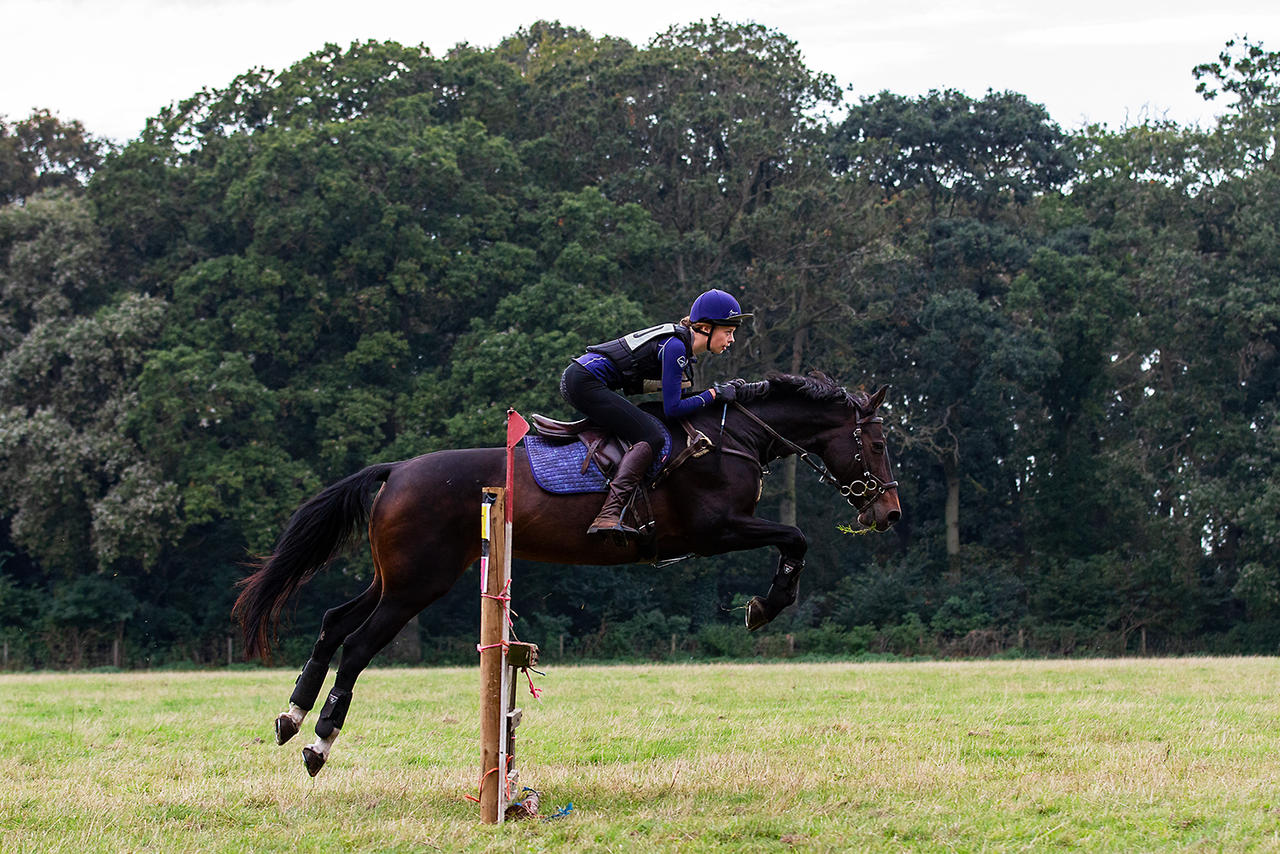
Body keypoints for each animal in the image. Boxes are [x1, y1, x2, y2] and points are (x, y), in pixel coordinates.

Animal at [235, 371, 906, 778]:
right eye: (875, 446)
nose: (889, 513)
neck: (732, 437)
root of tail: (396, 469)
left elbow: (794, 539)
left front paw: (766, 604)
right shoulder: (717, 529)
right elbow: (796, 537)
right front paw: (767, 604)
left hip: (395, 577)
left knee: (332, 622)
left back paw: (290, 718)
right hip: (417, 584)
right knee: (356, 644)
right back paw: (318, 742)